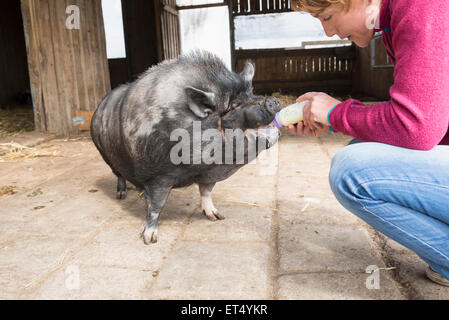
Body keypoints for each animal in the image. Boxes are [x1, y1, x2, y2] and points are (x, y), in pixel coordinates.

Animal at [90, 50, 280, 245]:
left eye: (252, 93)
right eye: (233, 106)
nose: (272, 100)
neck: (196, 167)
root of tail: (99, 108)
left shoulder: (209, 174)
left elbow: (206, 192)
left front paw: (217, 217)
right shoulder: (157, 176)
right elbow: (156, 206)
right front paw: (149, 239)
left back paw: (137, 189)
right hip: (105, 154)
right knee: (119, 174)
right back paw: (121, 195)